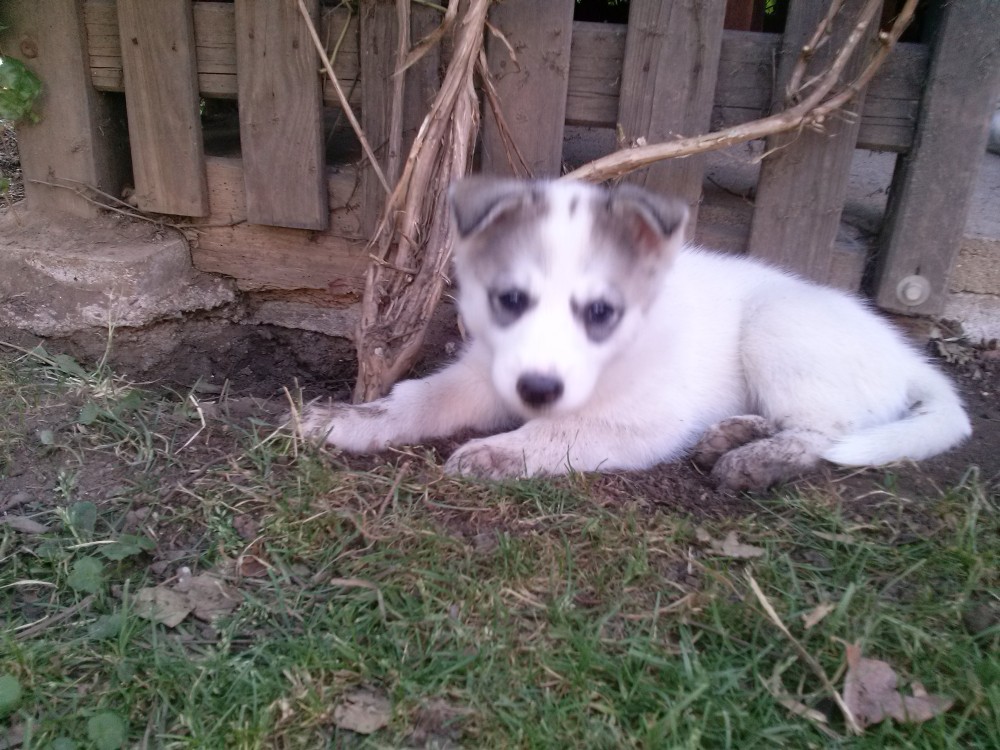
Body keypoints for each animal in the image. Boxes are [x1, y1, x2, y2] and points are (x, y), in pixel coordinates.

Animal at [298, 178, 971, 491]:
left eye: (601, 312)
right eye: (510, 301)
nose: (537, 390)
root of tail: (906, 356)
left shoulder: (644, 420)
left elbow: (560, 431)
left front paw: (501, 451)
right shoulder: (486, 372)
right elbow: (416, 398)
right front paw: (350, 419)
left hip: (779, 328)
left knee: (825, 432)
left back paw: (756, 459)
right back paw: (733, 433)